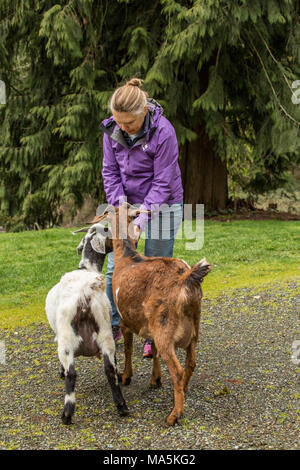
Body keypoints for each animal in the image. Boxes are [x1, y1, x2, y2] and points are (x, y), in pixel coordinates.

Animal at [45, 222, 128, 424]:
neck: (86, 268)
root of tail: (84, 293)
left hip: (68, 339)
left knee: (73, 374)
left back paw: (67, 413)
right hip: (104, 333)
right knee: (108, 368)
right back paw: (121, 405)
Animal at [95, 204, 210, 424]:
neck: (128, 257)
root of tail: (185, 279)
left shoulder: (126, 320)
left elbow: (128, 349)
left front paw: (126, 376)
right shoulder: (151, 324)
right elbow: (153, 350)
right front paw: (155, 379)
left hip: (166, 328)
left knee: (178, 370)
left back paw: (174, 415)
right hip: (192, 326)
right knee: (191, 362)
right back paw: (183, 392)